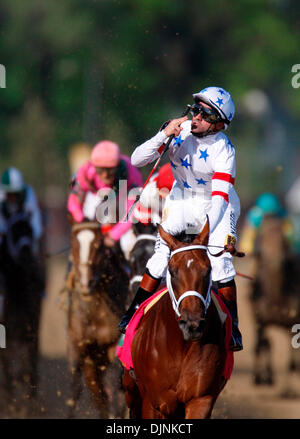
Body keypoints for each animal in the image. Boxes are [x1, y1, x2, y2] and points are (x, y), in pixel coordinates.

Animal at [67, 220, 129, 420]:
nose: (86, 283)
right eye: (73, 244)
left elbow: (116, 395)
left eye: (99, 246)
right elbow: (75, 391)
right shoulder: (77, 347)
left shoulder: (113, 348)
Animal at [123, 222, 230, 422]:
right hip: (132, 391)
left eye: (208, 270)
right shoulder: (154, 402)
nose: (192, 325)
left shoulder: (200, 399)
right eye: (172, 271)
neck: (180, 345)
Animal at [250, 215, 300, 390]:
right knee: (263, 343)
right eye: (263, 237)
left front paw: (288, 390)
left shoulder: (293, 320)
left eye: (284, 239)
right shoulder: (260, 318)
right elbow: (262, 343)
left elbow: (292, 361)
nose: (275, 260)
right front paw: (261, 378)